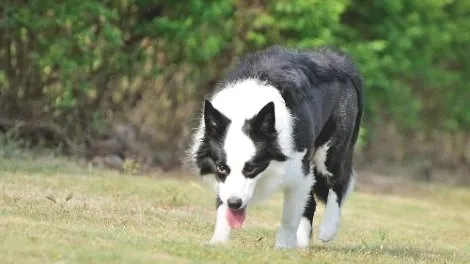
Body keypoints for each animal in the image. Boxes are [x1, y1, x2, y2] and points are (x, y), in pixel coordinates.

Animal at [188, 44, 364, 249]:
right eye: (221, 167)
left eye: (251, 168)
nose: (235, 203)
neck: (246, 106)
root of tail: (339, 60)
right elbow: (223, 205)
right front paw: (218, 241)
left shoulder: (299, 170)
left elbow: (289, 216)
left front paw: (283, 247)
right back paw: (302, 243)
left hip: (331, 151)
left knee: (337, 182)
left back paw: (328, 228)